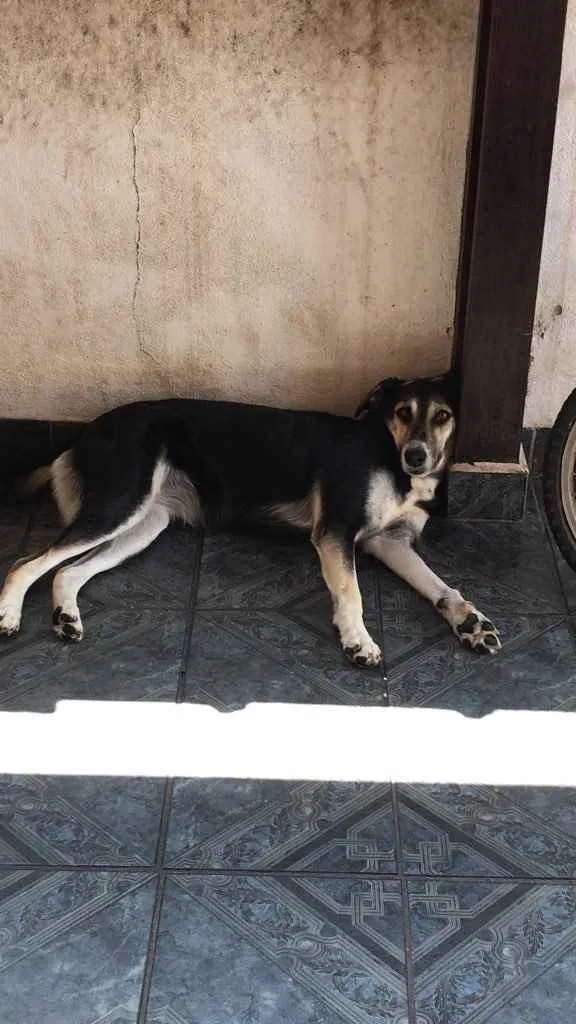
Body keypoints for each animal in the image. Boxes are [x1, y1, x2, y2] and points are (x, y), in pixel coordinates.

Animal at [0, 376, 498, 663]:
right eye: (402, 412)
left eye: (442, 416)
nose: (417, 456)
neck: (386, 452)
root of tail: (82, 433)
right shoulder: (335, 532)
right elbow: (350, 592)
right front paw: (357, 638)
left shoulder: (390, 542)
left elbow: (441, 586)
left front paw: (469, 621)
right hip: (120, 503)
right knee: (26, 562)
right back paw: (9, 614)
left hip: (143, 523)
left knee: (65, 571)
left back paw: (66, 618)